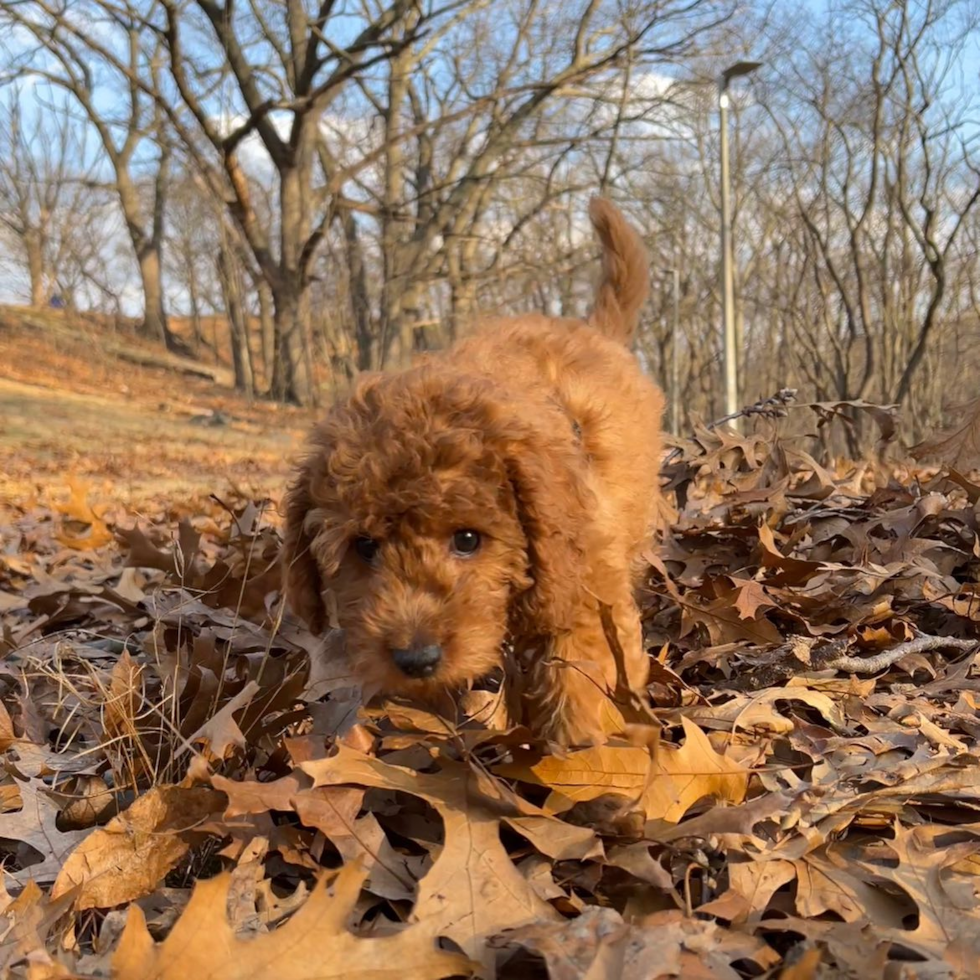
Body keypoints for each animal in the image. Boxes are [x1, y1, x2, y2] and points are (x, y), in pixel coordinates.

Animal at [284, 199, 668, 744]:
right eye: (364, 547)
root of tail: (594, 329)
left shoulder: (587, 593)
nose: (416, 659)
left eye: (467, 539)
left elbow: (579, 679)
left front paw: (579, 749)